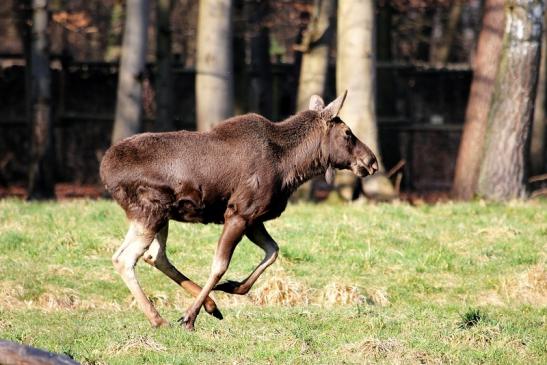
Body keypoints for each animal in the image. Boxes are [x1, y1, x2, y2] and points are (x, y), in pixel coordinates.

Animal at [100, 91, 378, 330]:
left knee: (154, 256)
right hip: (151, 210)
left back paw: (210, 305)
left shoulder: (254, 218)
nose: (372, 161)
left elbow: (273, 251)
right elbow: (219, 265)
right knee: (125, 258)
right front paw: (189, 317)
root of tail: (105, 170)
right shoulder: (239, 212)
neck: (290, 168)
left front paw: (230, 288)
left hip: (157, 216)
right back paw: (158, 319)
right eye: (347, 133)